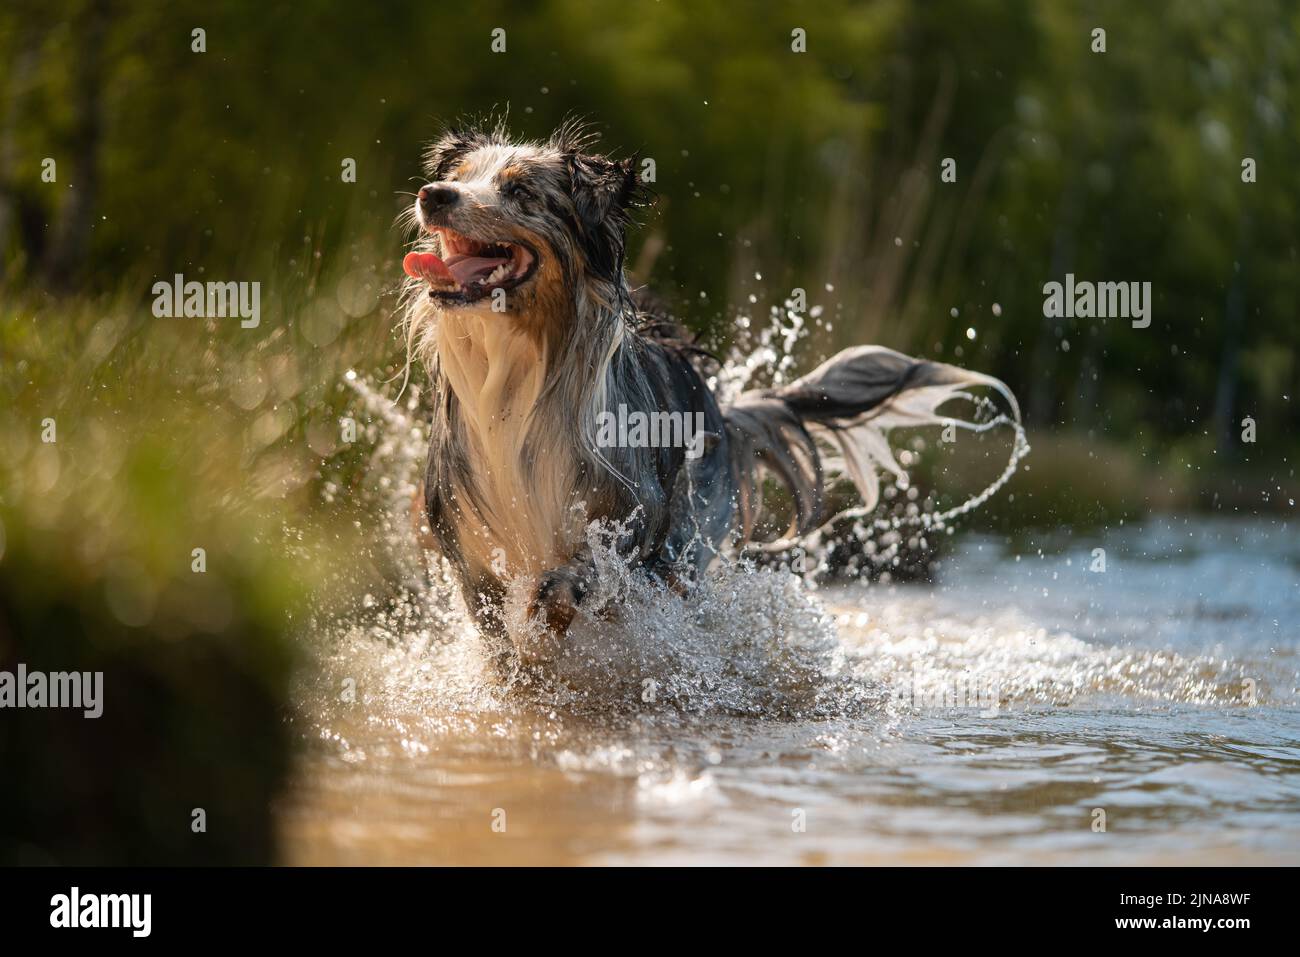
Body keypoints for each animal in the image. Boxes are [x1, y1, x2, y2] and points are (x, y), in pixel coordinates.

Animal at [400, 117, 1019, 665]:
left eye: (522, 190)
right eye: (460, 175)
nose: (434, 194)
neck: (514, 375)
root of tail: (722, 409)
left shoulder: (631, 520)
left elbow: (571, 581)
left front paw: (545, 617)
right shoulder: (471, 553)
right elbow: (500, 630)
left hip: (690, 535)